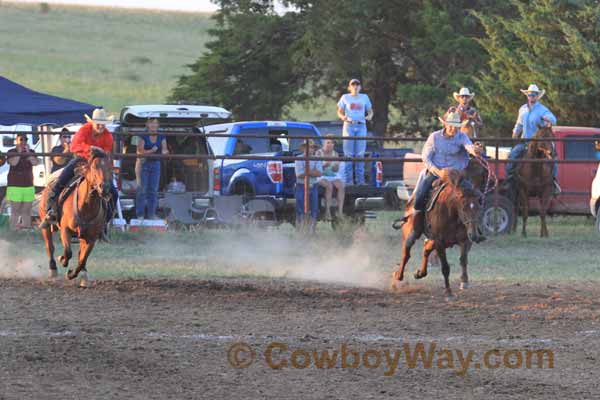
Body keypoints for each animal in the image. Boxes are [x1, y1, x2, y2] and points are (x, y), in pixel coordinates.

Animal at [39, 147, 113, 288]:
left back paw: (83, 274)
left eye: (110, 166)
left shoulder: (92, 238)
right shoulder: (65, 230)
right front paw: (62, 260)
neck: (85, 206)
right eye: (94, 167)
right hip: (45, 225)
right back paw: (53, 269)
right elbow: (68, 252)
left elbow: (82, 259)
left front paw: (73, 274)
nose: (105, 187)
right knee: (49, 246)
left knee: (80, 255)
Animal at [392, 168, 486, 296]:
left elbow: (463, 260)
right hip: (412, 233)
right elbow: (445, 267)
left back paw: (419, 273)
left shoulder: (464, 240)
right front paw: (448, 292)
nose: (474, 235)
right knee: (406, 252)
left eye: (479, 207)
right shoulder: (440, 242)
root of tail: (409, 204)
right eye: (463, 208)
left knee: (426, 249)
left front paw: (464, 281)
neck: (452, 212)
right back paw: (398, 276)